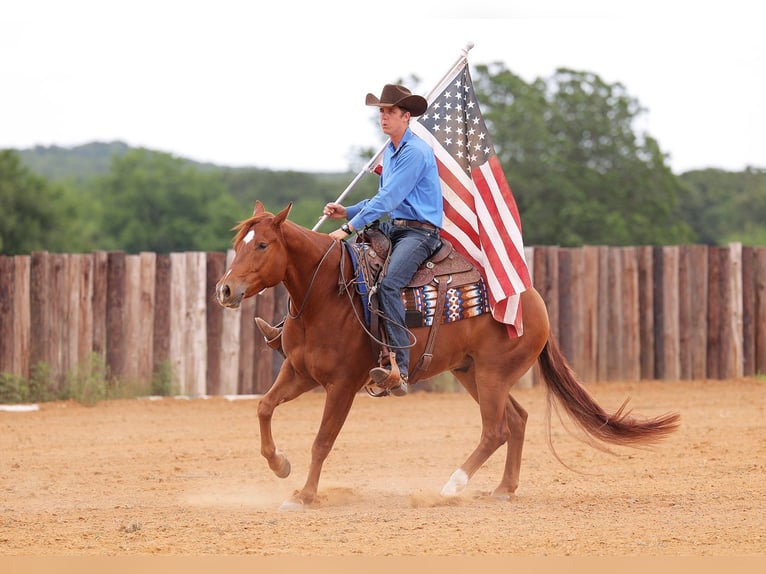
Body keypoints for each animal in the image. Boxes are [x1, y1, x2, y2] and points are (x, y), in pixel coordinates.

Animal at [214, 204, 680, 512]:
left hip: (492, 375)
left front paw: (305, 495)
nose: (225, 289)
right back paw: (504, 488)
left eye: (262, 245)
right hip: (471, 373)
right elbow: (263, 406)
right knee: (517, 420)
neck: (327, 293)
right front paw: (280, 465)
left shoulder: (342, 384)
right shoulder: (298, 372)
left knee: (495, 429)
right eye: (238, 243)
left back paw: (451, 486)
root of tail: (531, 295)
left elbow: (322, 440)